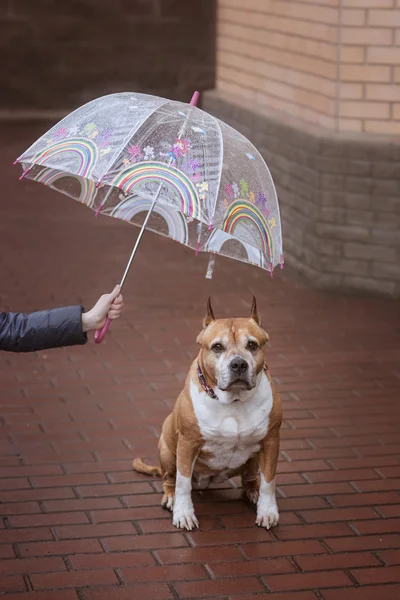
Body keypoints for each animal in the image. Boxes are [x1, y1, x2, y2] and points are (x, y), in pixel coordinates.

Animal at [134, 298, 282, 528]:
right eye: (217, 347)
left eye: (252, 345)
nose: (238, 363)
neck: (233, 400)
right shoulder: (187, 444)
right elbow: (183, 483)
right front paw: (183, 514)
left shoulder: (271, 441)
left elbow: (268, 481)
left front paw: (267, 512)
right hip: (167, 449)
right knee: (170, 479)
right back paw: (171, 498)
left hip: (254, 458)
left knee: (250, 478)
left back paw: (253, 493)